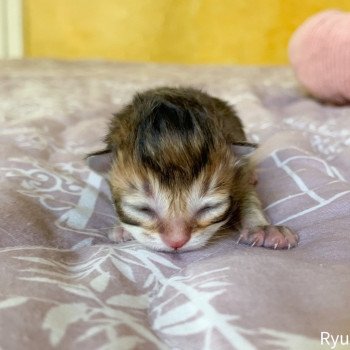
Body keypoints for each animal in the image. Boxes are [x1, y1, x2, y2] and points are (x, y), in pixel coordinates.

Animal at [87, 87, 298, 252]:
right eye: (142, 209)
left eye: (210, 207)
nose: (176, 241)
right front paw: (121, 228)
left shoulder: (239, 178)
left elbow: (248, 197)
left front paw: (263, 228)